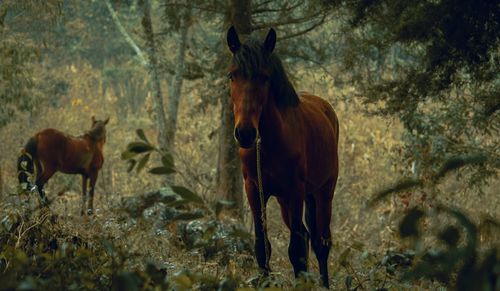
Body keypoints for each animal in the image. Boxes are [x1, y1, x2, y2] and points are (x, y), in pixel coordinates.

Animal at [228, 25, 340, 290]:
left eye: (264, 77)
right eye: (231, 76)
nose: (245, 133)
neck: (270, 144)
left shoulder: (295, 190)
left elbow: (297, 250)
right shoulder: (254, 189)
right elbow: (262, 247)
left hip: (323, 192)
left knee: (321, 243)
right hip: (284, 201)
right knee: (309, 236)